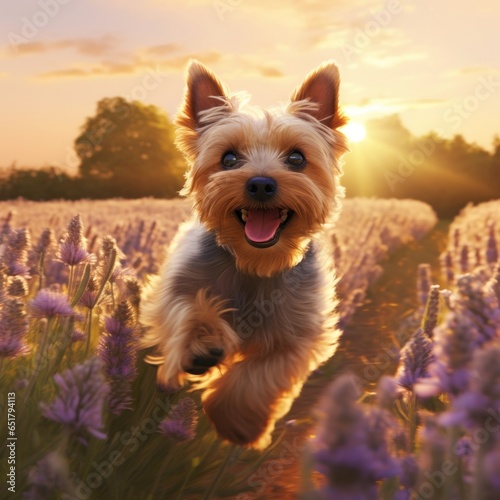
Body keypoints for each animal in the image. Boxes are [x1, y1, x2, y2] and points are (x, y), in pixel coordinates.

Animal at [141, 58, 350, 450]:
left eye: (296, 157)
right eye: (229, 158)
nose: (261, 183)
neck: (255, 265)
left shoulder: (296, 338)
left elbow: (257, 377)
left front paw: (238, 424)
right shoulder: (175, 288)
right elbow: (187, 307)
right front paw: (201, 343)